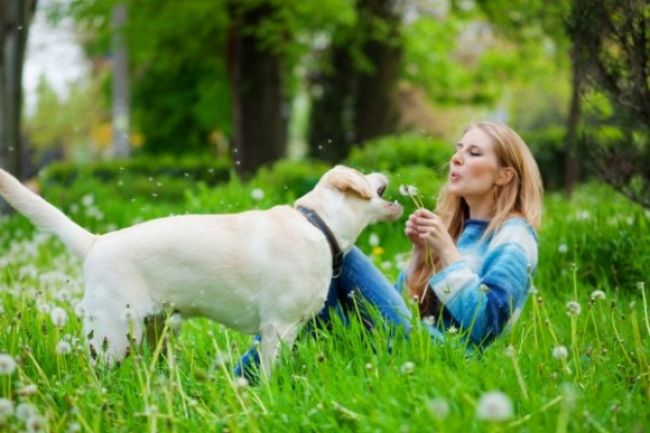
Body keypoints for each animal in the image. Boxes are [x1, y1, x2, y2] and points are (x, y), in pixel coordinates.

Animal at [0, 165, 402, 374]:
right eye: (364, 174)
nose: (384, 172)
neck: (318, 224)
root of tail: (95, 243)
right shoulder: (278, 328)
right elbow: (271, 372)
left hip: (154, 333)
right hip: (113, 336)